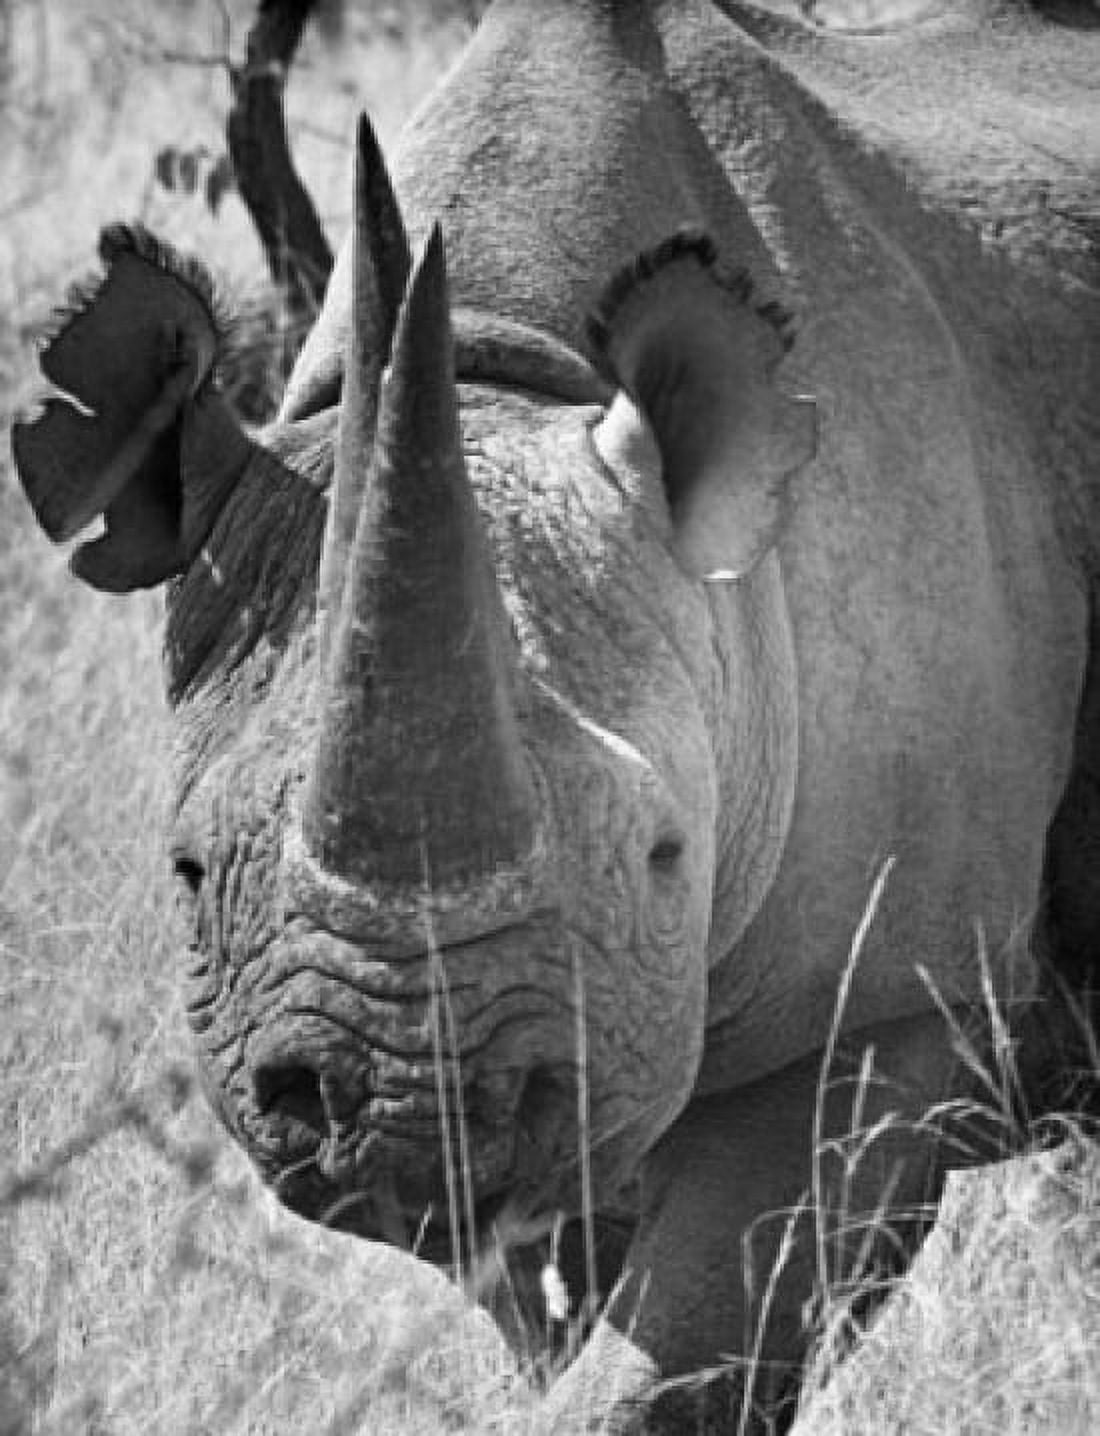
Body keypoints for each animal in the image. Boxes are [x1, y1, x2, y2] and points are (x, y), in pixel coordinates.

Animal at [11, 0, 1099, 1428]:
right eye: (188, 872)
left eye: (664, 856)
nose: (407, 1107)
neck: (506, 365)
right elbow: (557, 1312)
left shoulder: (878, 1003)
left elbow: (670, 1359)